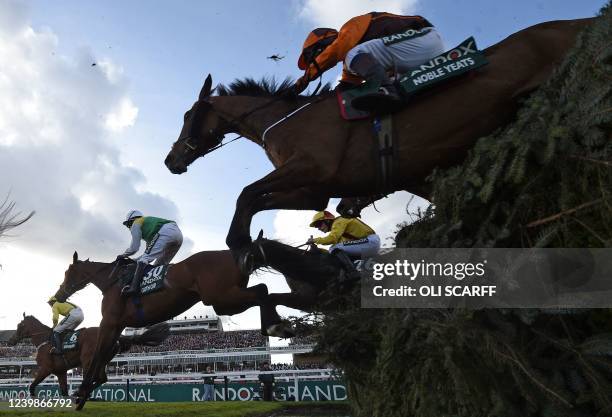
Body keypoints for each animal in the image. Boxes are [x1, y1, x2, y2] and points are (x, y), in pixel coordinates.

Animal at [7, 316, 170, 396]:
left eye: (19, 325)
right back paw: (81, 393)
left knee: (93, 378)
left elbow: (32, 386)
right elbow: (64, 391)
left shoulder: (46, 368)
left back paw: (81, 392)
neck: (44, 340)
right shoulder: (61, 372)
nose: (10, 341)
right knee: (101, 379)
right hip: (101, 361)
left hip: (88, 360)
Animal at [56, 249, 316, 408]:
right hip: (225, 300)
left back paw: (276, 325)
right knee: (264, 290)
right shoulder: (118, 326)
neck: (113, 282)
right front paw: (86, 391)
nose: (59, 294)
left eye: (68, 272)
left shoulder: (109, 323)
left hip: (221, 298)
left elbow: (98, 354)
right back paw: (280, 324)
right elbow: (103, 354)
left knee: (262, 290)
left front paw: (81, 392)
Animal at [165, 17, 596, 252]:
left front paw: (237, 241)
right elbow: (258, 199)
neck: (287, 118)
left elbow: (247, 192)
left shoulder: (313, 167)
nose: (171, 160)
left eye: (187, 115)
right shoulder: (314, 190)